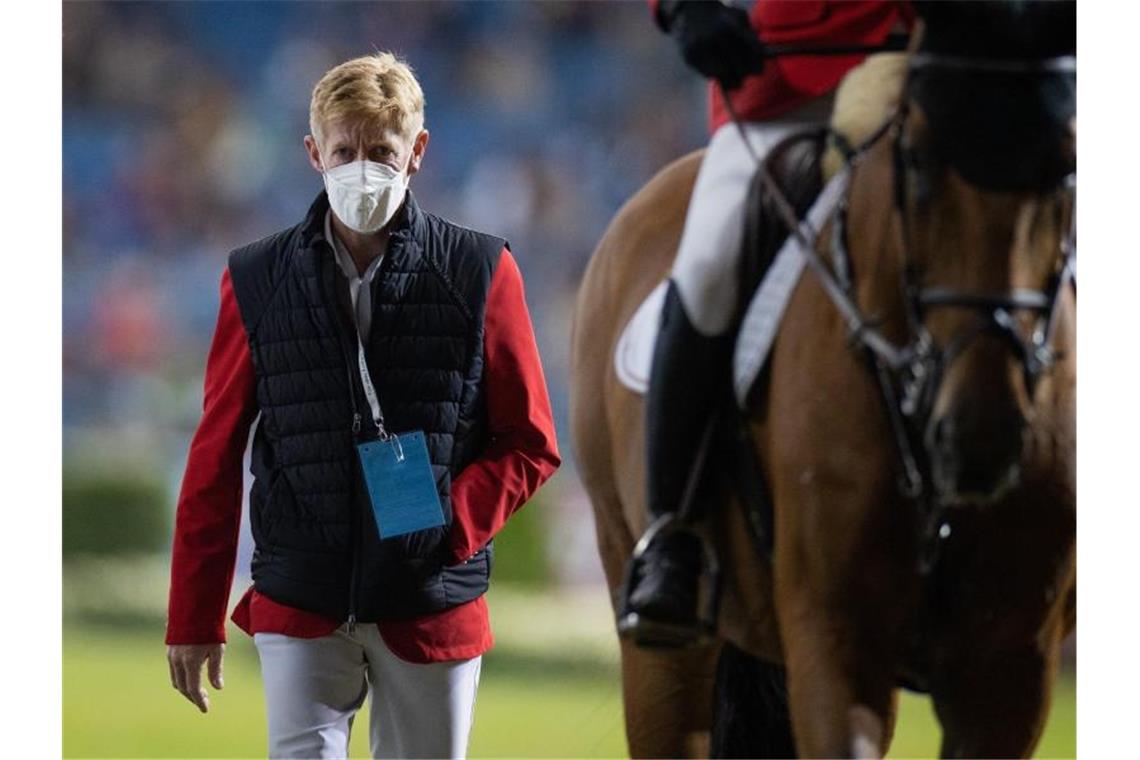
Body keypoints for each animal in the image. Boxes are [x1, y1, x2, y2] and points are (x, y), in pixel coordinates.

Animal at [570, 2, 1076, 756]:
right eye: (915, 161)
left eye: (1068, 169)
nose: (981, 433)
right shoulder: (836, 642)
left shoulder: (1010, 668)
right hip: (657, 643)